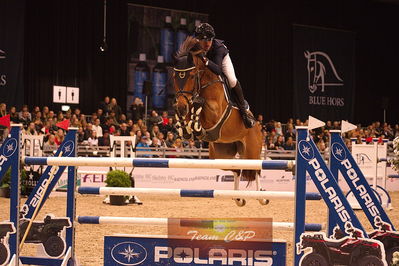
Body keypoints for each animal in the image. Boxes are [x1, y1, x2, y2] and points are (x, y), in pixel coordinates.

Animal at [172, 35, 266, 206]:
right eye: (174, 77)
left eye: (191, 76)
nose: (181, 106)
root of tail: (258, 127)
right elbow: (188, 118)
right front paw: (184, 126)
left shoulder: (215, 113)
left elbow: (201, 108)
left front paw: (195, 124)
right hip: (220, 155)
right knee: (236, 169)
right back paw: (238, 198)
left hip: (252, 151)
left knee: (256, 170)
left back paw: (262, 196)